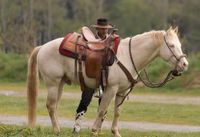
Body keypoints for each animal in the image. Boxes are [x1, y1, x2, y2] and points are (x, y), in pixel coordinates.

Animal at [27, 26, 188, 136]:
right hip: (53, 83)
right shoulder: (111, 89)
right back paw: (57, 130)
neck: (127, 56)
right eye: (172, 46)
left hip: (60, 83)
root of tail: (42, 47)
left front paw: (115, 132)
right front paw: (94, 130)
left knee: (55, 106)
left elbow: (117, 112)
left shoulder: (121, 92)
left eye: (180, 45)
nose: (185, 64)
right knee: (51, 106)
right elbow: (102, 110)